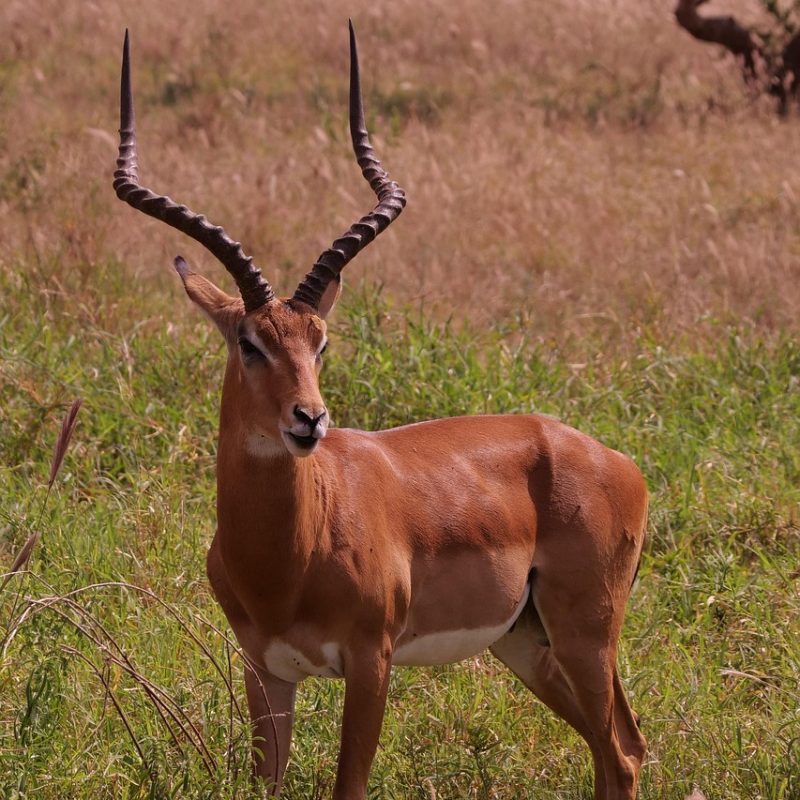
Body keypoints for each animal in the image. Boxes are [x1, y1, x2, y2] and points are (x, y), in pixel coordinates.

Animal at [114, 24, 648, 800]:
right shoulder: (264, 671)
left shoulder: (372, 661)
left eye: (320, 341)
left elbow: (350, 785)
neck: (288, 560)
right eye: (249, 342)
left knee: (622, 751)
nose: (309, 420)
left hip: (586, 631)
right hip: (526, 643)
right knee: (617, 750)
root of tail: (615, 460)